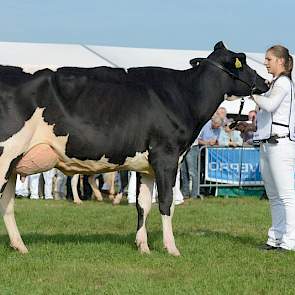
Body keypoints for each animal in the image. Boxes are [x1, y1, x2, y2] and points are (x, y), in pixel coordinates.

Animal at [0, 42, 270, 256]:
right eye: (243, 60)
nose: (266, 81)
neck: (185, 95)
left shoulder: (146, 166)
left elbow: (143, 204)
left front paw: (143, 247)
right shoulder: (167, 156)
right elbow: (166, 202)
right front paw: (171, 248)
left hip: (13, 164)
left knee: (7, 204)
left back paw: (20, 246)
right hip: (6, 155)